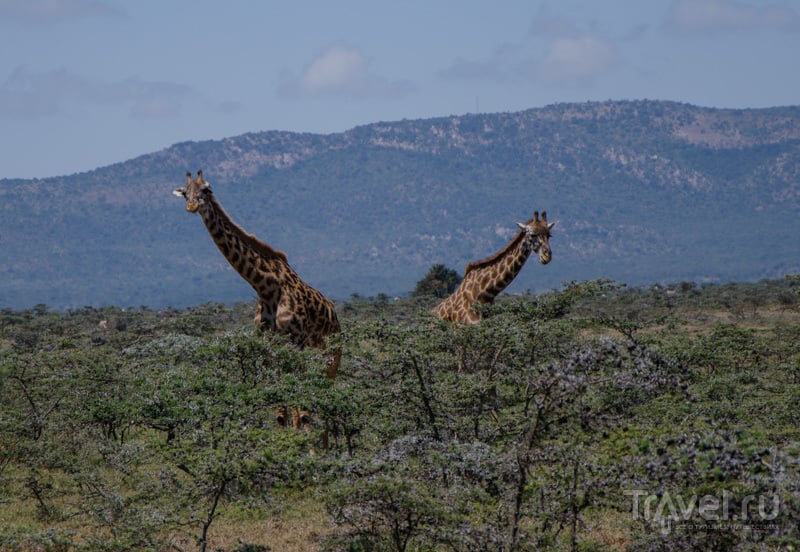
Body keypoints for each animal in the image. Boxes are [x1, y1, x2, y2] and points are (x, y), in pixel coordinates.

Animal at [173, 170, 340, 434]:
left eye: (206, 190)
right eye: (185, 192)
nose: (191, 206)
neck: (266, 286)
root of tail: (335, 315)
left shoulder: (297, 342)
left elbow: (299, 406)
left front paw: (302, 442)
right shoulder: (267, 345)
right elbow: (280, 410)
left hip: (331, 355)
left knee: (323, 399)